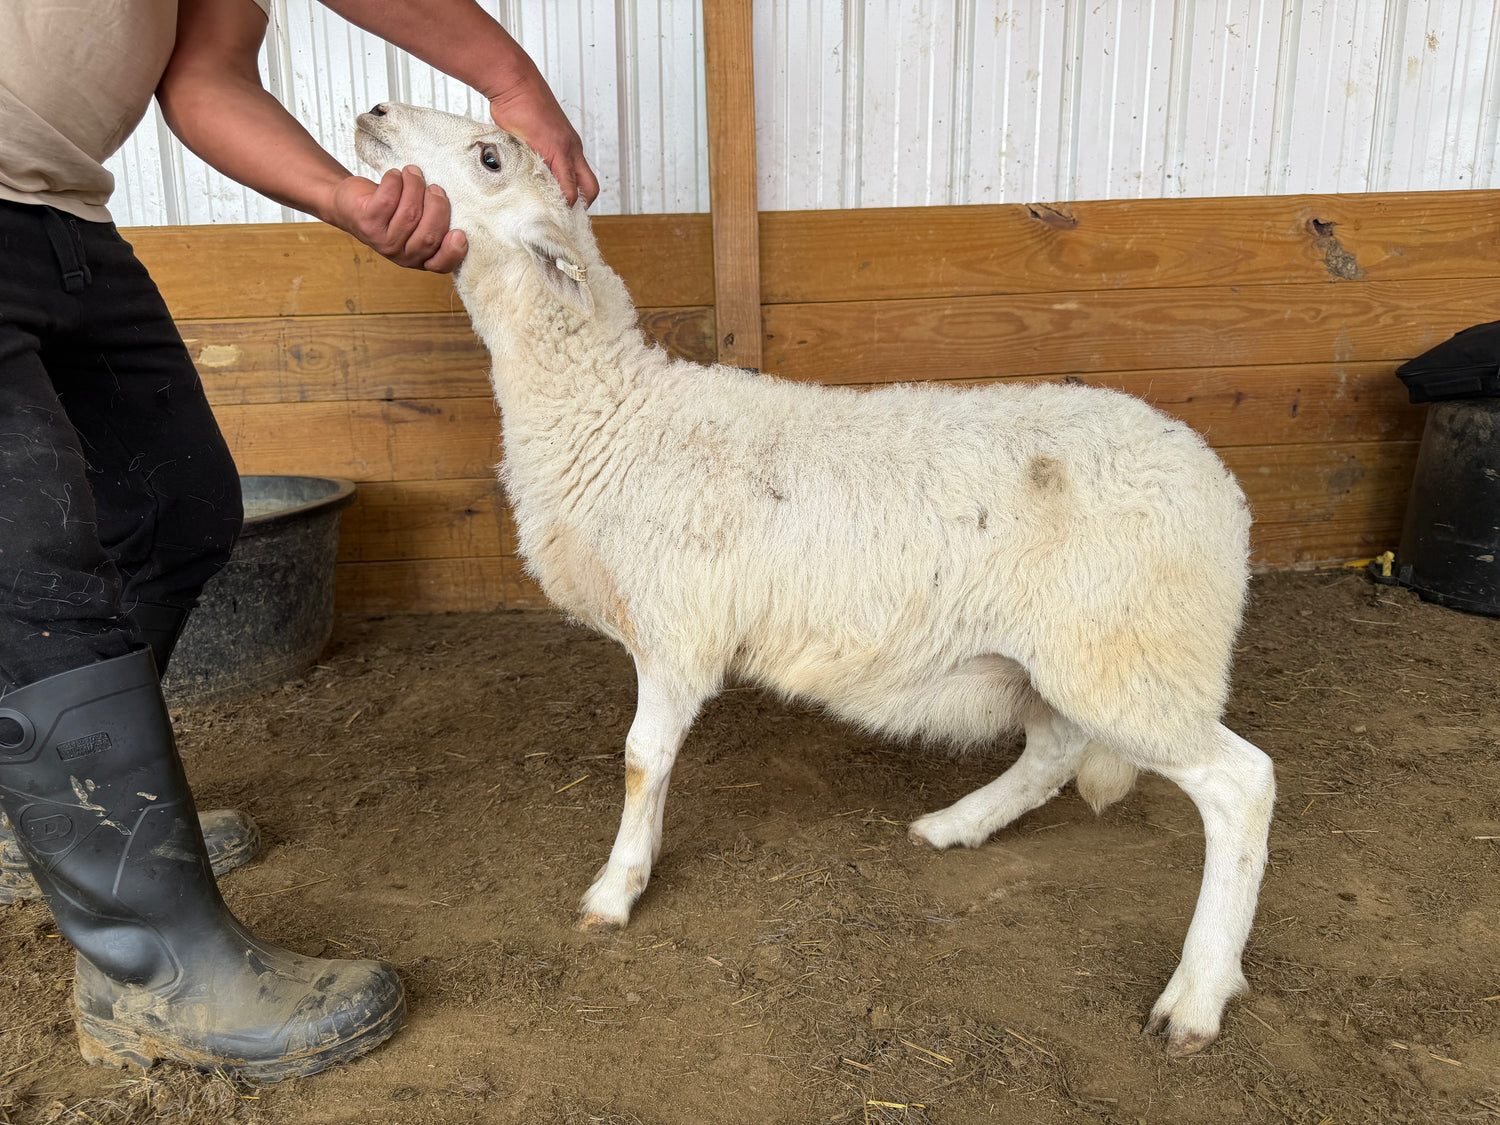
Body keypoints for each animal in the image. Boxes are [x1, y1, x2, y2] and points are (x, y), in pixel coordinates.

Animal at [354, 103, 1277, 1056]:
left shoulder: (676, 627)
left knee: (1242, 786)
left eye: (489, 157)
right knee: (1056, 748)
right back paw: (957, 824)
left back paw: (1198, 993)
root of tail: (1219, 487)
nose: (374, 113)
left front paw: (617, 887)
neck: (614, 411)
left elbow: (642, 759)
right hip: (1062, 654)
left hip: (1130, 652)